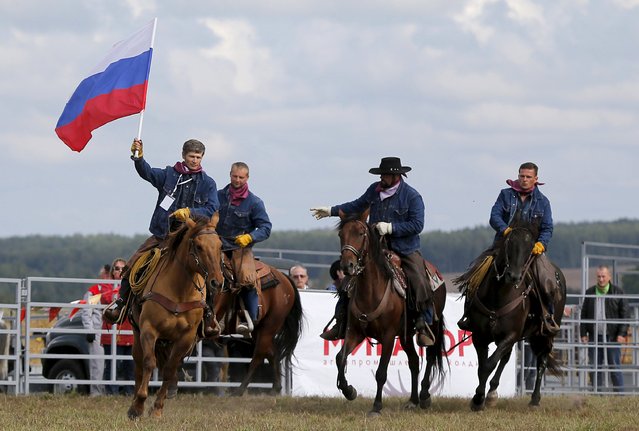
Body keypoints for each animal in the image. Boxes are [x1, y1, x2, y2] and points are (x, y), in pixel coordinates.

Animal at [126, 218, 224, 420]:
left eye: (220, 246)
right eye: (198, 246)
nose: (217, 282)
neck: (179, 290)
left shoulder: (185, 338)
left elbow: (170, 370)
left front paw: (157, 408)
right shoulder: (149, 330)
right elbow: (149, 363)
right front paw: (139, 405)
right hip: (138, 334)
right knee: (139, 366)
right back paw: (133, 405)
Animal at [214, 260, 304, 394]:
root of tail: (285, 278)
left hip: (269, 327)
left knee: (259, 356)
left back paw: (240, 390)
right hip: (259, 330)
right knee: (271, 353)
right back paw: (276, 388)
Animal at [338, 211, 448, 416]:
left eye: (361, 234)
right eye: (341, 234)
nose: (347, 266)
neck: (372, 291)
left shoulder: (388, 336)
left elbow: (381, 372)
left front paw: (376, 406)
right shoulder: (355, 332)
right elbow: (340, 358)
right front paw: (349, 390)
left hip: (433, 327)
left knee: (430, 356)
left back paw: (424, 396)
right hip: (405, 336)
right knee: (414, 361)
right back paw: (412, 400)